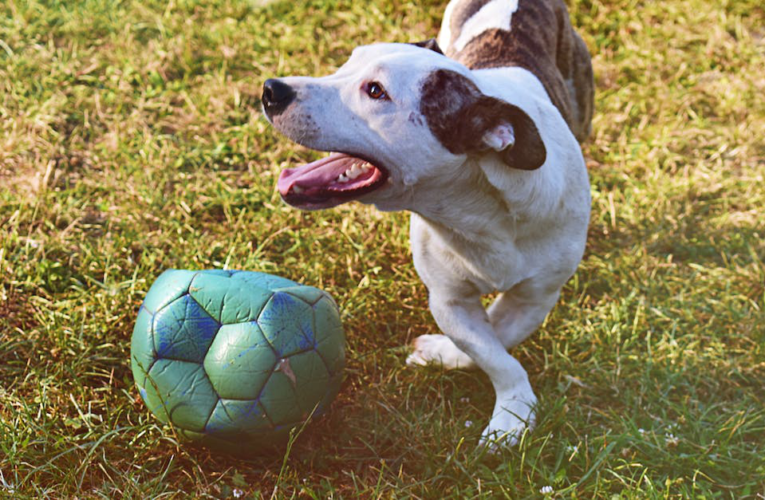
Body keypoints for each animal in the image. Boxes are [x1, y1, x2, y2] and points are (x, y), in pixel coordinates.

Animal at [266, 0, 592, 446]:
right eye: (346, 63)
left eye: (375, 91)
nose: (271, 89)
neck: (476, 207)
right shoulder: (449, 299)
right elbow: (490, 351)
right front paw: (505, 400)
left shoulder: (535, 296)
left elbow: (501, 337)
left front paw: (510, 412)